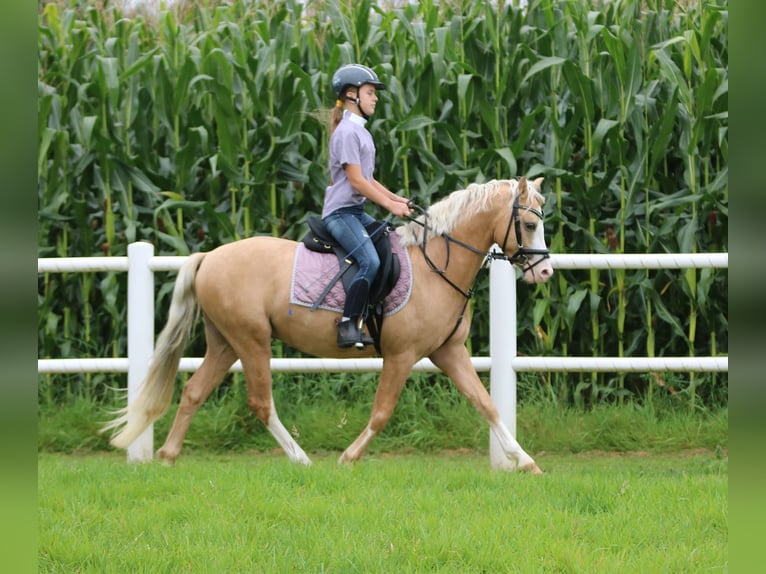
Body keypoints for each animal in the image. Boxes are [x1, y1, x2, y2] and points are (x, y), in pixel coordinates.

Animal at [103, 177, 554, 472]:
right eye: (530, 224)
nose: (545, 272)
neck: (436, 265)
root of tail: (210, 257)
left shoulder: (449, 352)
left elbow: (487, 404)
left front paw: (526, 462)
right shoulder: (402, 355)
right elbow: (382, 412)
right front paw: (348, 457)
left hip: (226, 343)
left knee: (194, 392)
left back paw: (168, 456)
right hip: (252, 341)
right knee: (261, 402)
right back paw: (300, 459)